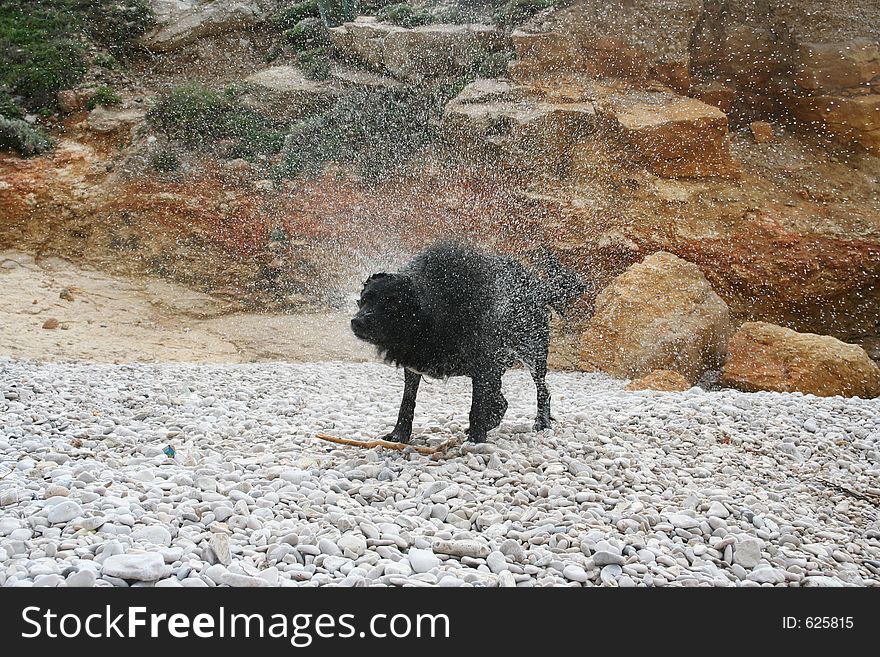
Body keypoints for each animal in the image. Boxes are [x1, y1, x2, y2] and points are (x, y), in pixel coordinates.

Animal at [348, 242, 584, 446]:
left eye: (390, 306)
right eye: (364, 300)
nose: (356, 322)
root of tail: (538, 287)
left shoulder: (483, 365)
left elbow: (477, 407)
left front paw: (476, 439)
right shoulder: (415, 366)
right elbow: (407, 403)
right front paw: (400, 435)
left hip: (532, 351)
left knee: (541, 390)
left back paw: (541, 421)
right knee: (502, 402)